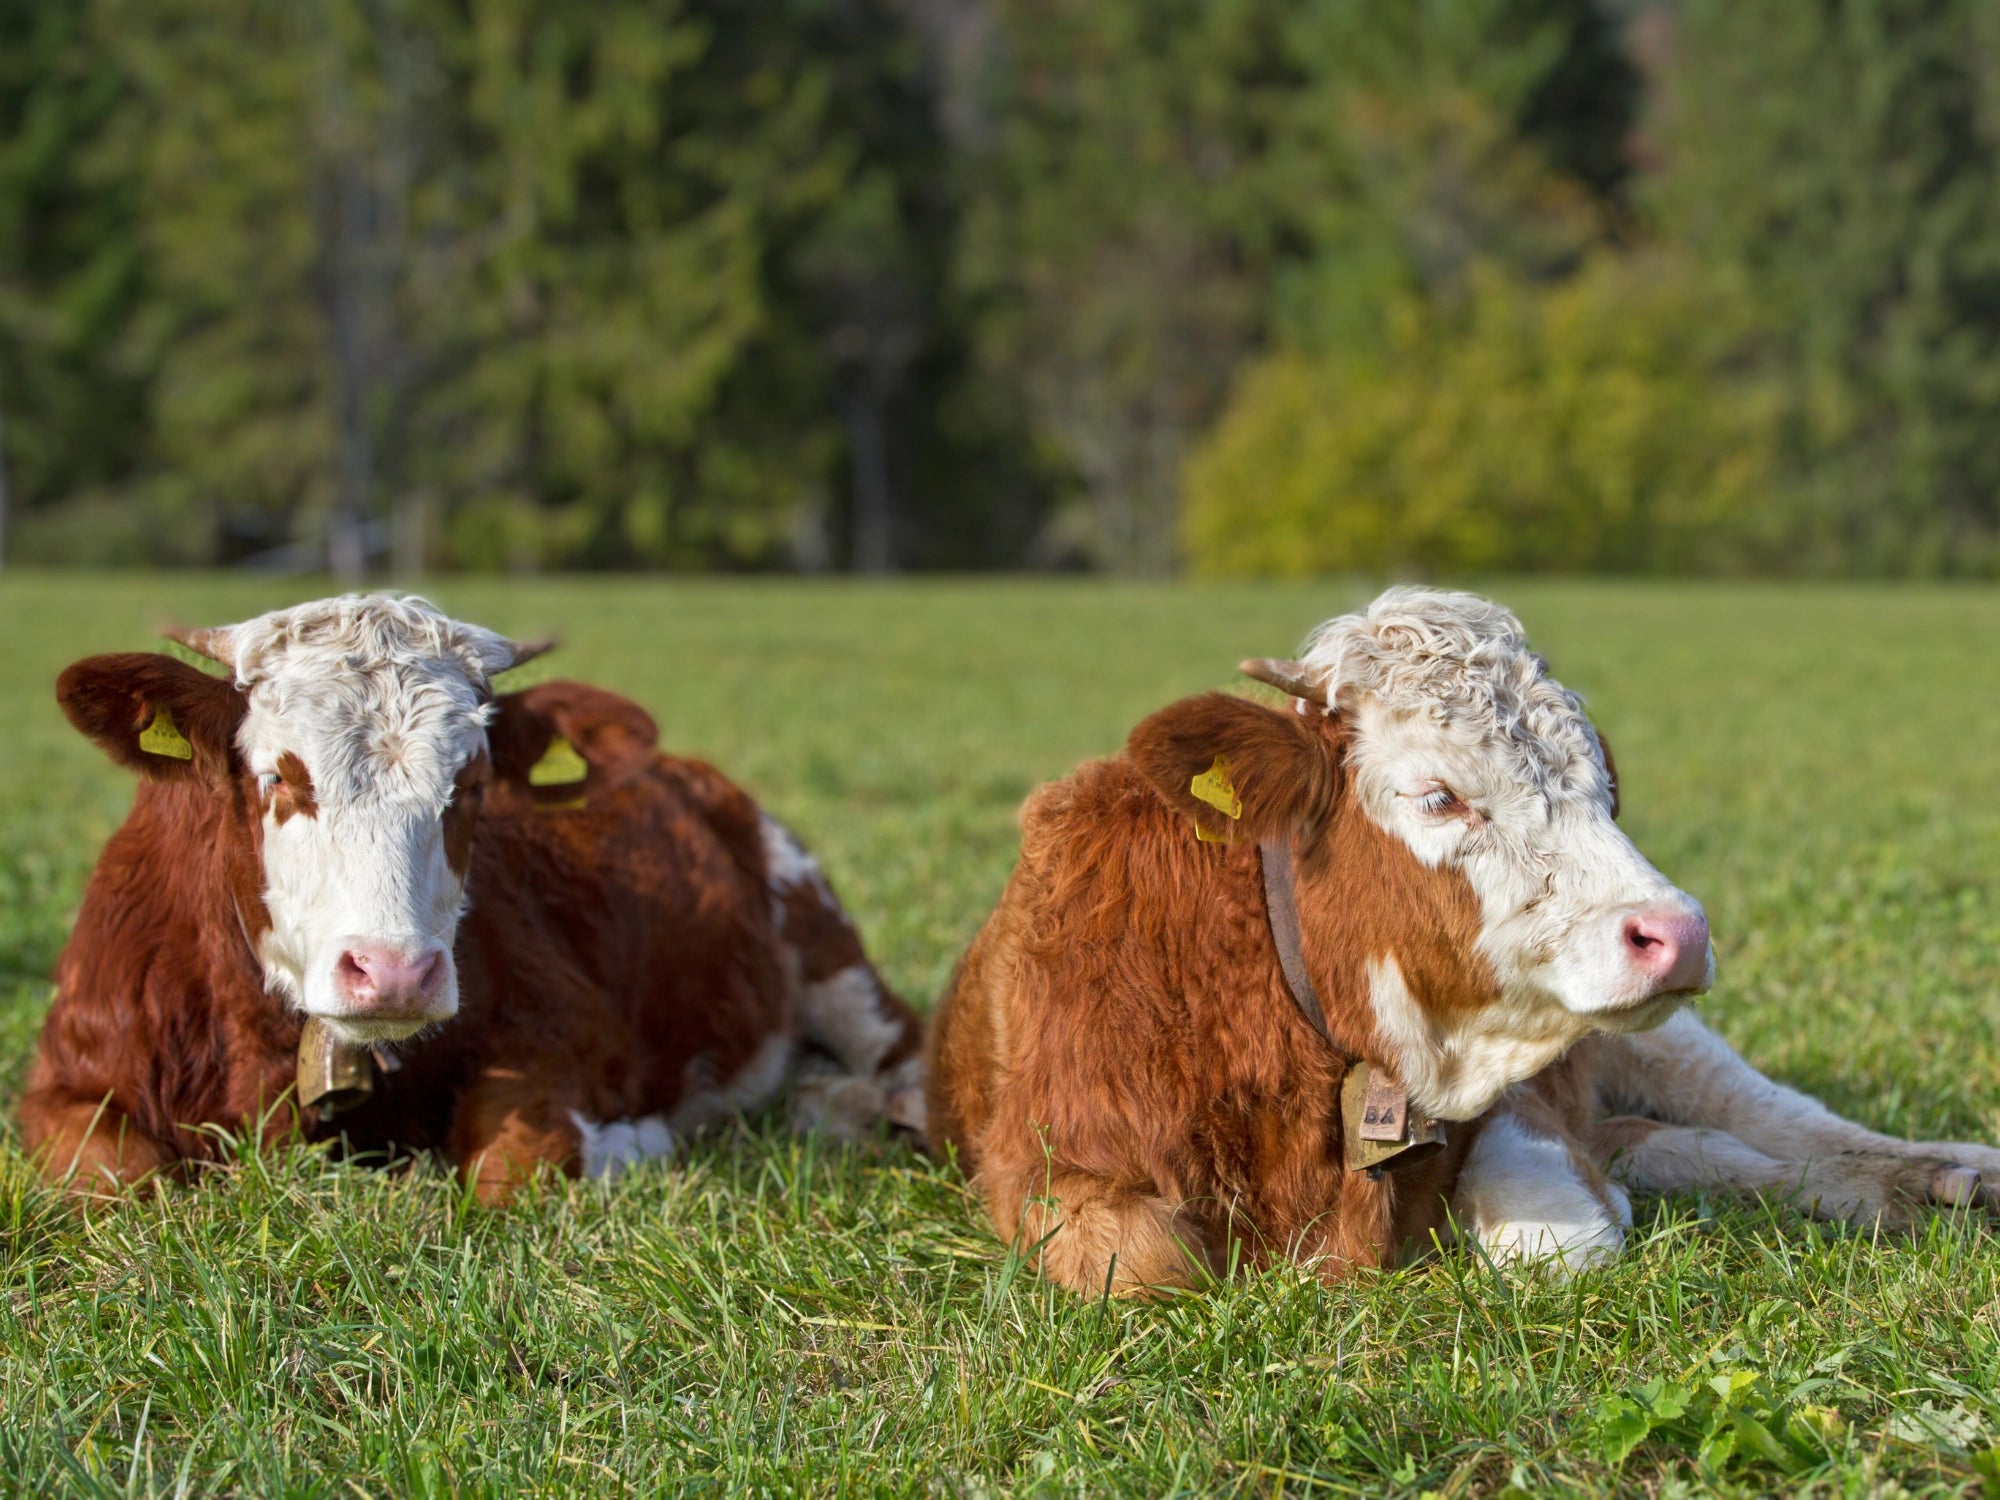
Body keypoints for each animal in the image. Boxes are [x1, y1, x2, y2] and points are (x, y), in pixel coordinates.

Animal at [25, 596, 920, 1200]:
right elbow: (113, 1179)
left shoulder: (567, 1032)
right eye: (279, 777)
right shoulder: (63, 1081)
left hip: (830, 951)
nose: (392, 972)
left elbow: (513, 1168)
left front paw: (635, 1142)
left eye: (474, 784)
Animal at [924, 588, 2000, 1296]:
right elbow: (1146, 1261)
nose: (1677, 933)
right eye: (1437, 795)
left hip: (1655, 1041)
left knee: (1777, 1119)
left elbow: (1556, 1238)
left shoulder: (1519, 1097)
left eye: (1604, 790)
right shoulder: (1040, 1166)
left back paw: (1942, 1173)